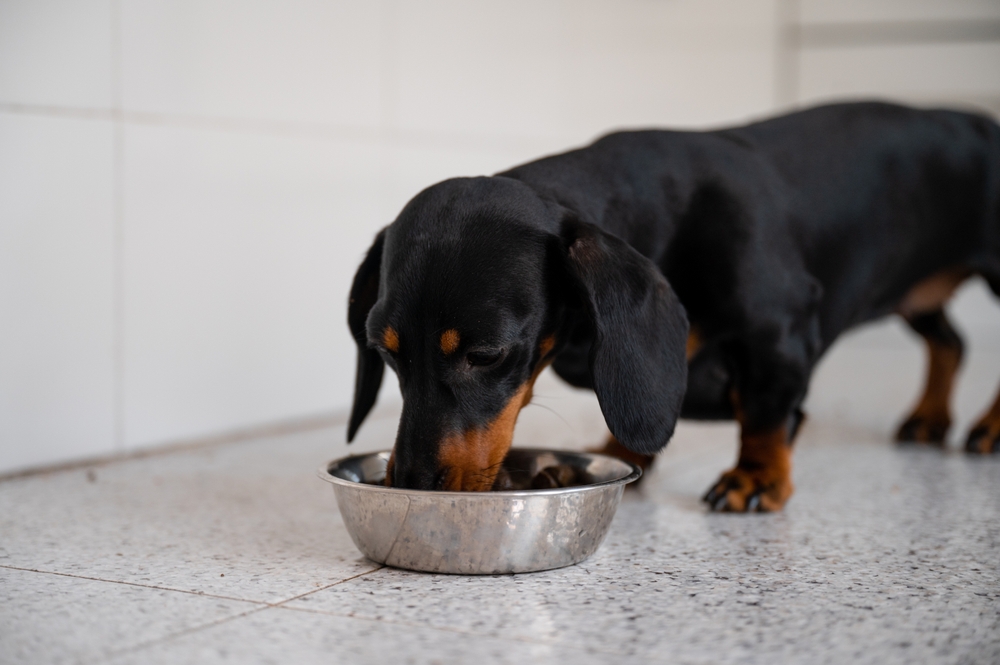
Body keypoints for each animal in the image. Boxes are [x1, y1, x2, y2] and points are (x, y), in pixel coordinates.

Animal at [342, 101, 1000, 510]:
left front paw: (757, 476)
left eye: (485, 354)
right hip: (916, 295)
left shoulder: (780, 330)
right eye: (385, 351)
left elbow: (766, 414)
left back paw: (988, 427)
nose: (413, 484)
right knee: (952, 341)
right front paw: (617, 457)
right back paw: (930, 417)